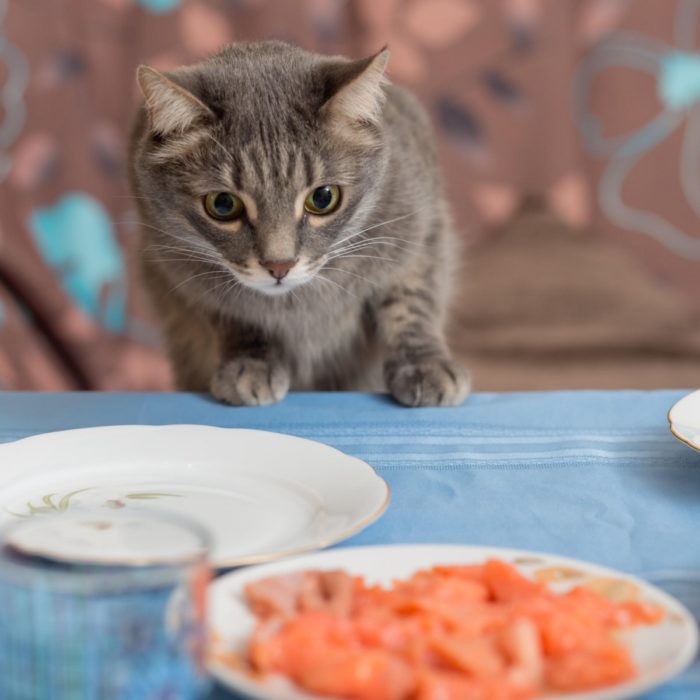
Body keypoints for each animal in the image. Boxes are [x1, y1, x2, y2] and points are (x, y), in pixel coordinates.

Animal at [130, 39, 470, 404]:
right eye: (222, 204)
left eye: (322, 198)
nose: (279, 266)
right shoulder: (177, 272)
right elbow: (237, 317)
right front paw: (251, 364)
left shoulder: (422, 234)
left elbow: (412, 303)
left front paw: (425, 365)